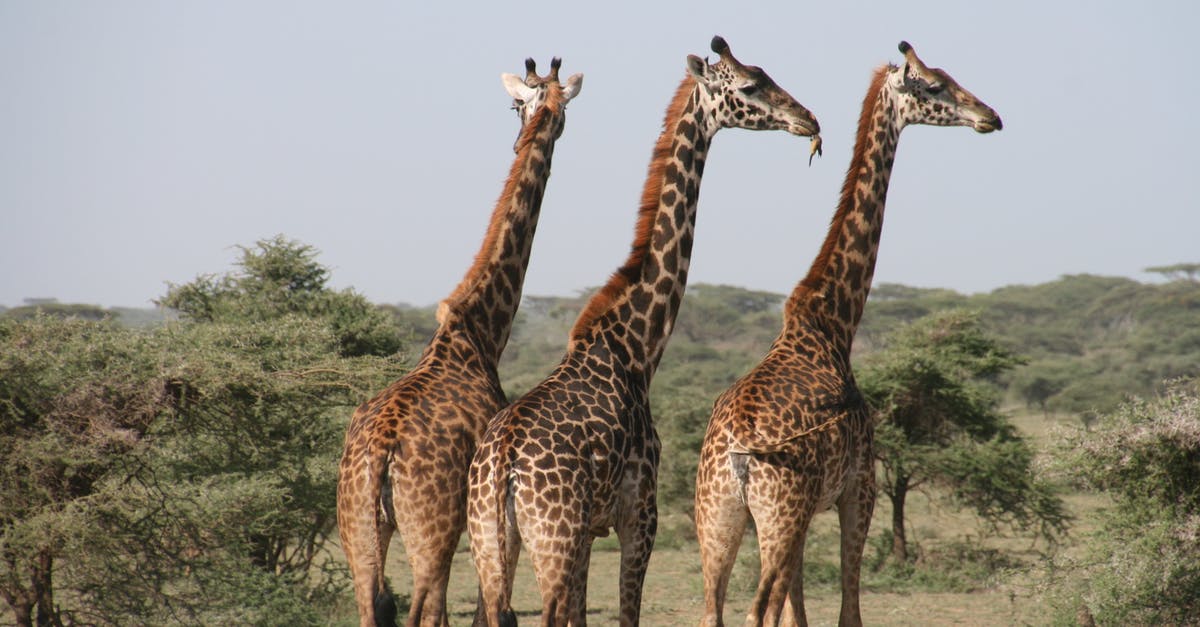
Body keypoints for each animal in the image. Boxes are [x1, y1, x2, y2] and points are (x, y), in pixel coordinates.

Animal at [336, 58, 583, 624]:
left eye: (522, 105)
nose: (527, 134)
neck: (481, 332)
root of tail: (380, 452)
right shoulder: (482, 518)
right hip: (432, 529)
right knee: (423, 608)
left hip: (355, 526)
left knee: (371, 604)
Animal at [463, 36, 820, 619]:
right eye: (749, 86)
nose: (807, 118)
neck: (636, 345)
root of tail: (501, 465)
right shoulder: (639, 514)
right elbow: (626, 612)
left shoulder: (590, 531)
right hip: (553, 539)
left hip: (491, 544)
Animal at [691, 41, 1008, 619]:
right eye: (935, 85)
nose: (989, 116)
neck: (834, 322)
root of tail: (737, 456)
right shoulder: (859, 489)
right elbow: (847, 605)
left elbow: (799, 613)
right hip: (780, 514)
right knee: (758, 609)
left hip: (717, 518)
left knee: (714, 609)